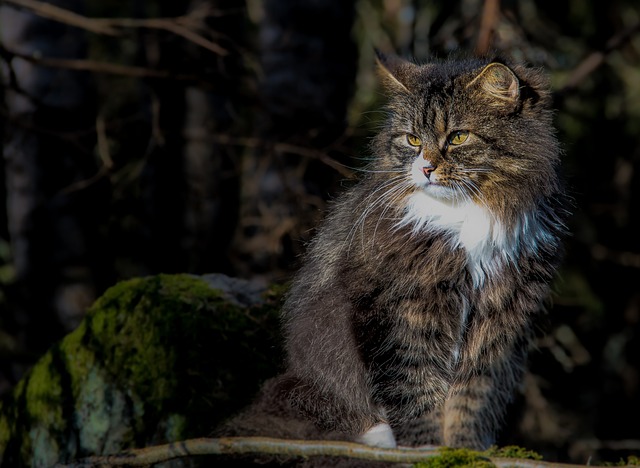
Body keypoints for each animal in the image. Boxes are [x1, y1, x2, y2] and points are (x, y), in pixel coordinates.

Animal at [219, 51, 564, 460]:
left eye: (458, 137)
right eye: (412, 139)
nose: (426, 168)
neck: (466, 219)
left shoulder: (501, 319)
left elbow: (471, 400)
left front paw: (464, 451)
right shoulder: (399, 312)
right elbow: (416, 391)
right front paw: (426, 449)